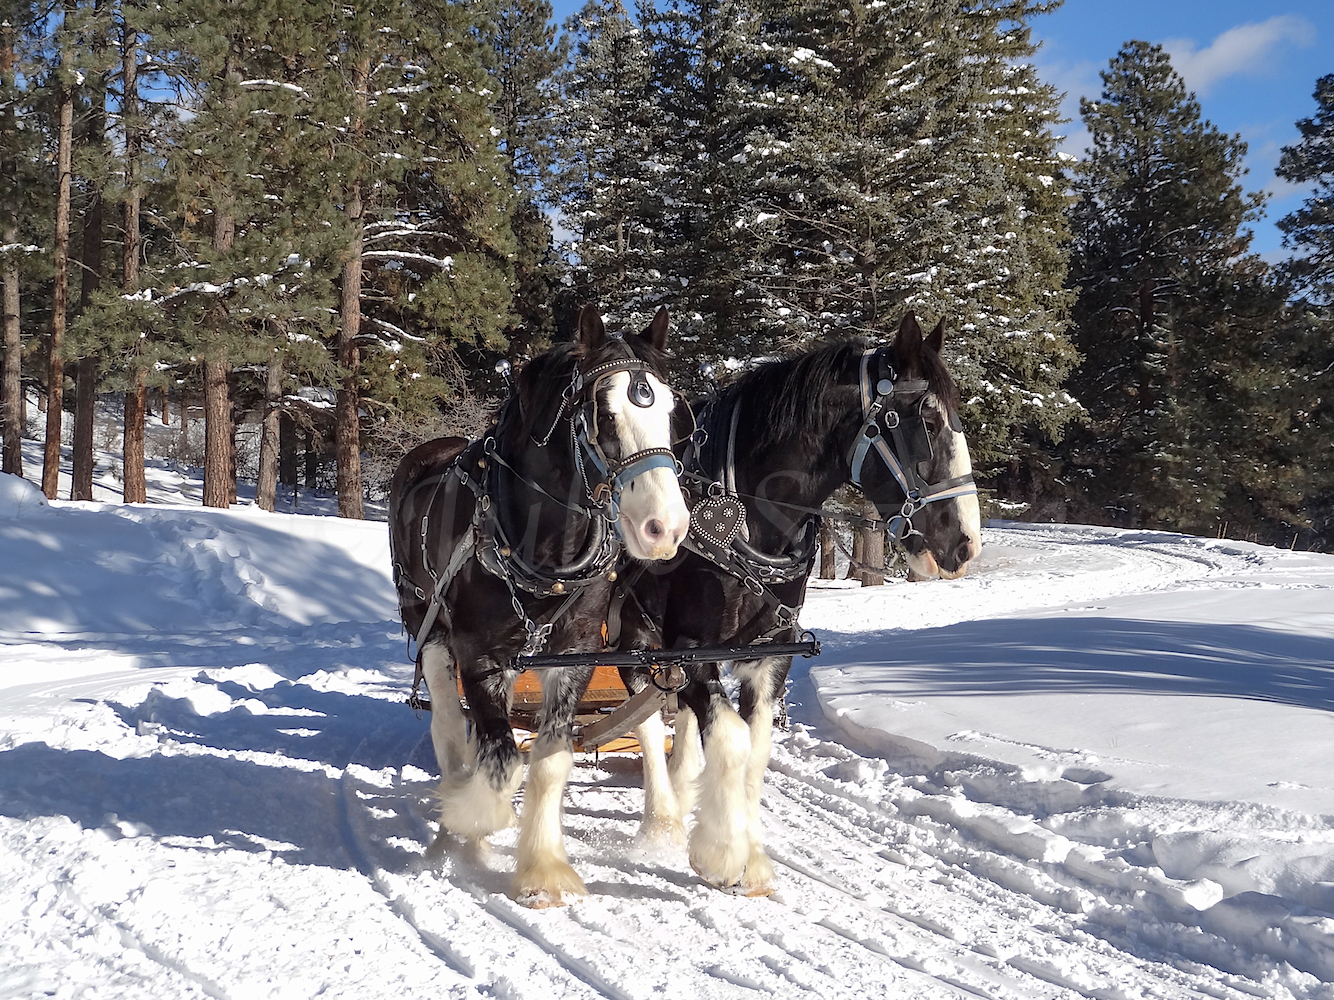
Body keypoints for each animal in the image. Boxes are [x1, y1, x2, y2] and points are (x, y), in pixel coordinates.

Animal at [389, 305, 688, 906]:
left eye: (671, 412)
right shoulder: (480, 655)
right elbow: (502, 760)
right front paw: (473, 821)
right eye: (603, 413)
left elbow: (550, 761)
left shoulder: (572, 656)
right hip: (431, 630)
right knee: (450, 729)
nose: (665, 527)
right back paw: (454, 822)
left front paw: (544, 869)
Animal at [616, 309, 981, 896]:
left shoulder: (770, 656)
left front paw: (749, 857)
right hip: (625, 632)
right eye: (925, 419)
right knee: (644, 718)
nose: (966, 542)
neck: (743, 518)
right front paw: (722, 854)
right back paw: (662, 820)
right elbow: (732, 741)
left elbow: (755, 749)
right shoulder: (689, 649)